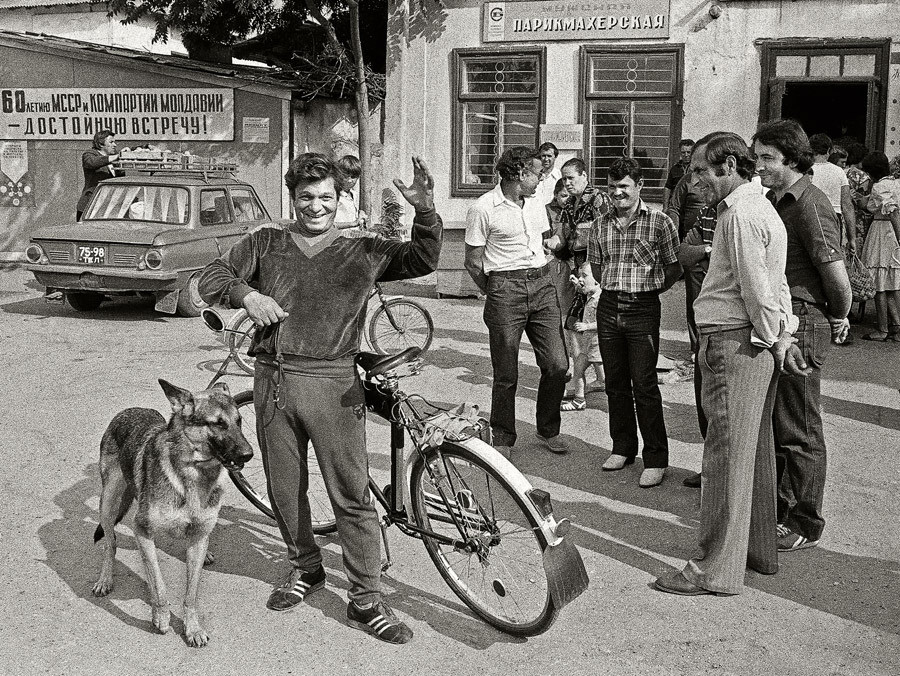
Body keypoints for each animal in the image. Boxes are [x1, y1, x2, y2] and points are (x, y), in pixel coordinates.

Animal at [91, 380, 251, 648]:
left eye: (238, 421)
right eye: (218, 423)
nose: (248, 454)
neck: (193, 473)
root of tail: (129, 410)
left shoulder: (197, 538)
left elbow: (191, 594)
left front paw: (193, 628)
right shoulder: (142, 532)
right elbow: (159, 584)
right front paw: (161, 616)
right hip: (109, 501)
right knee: (110, 544)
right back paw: (105, 579)